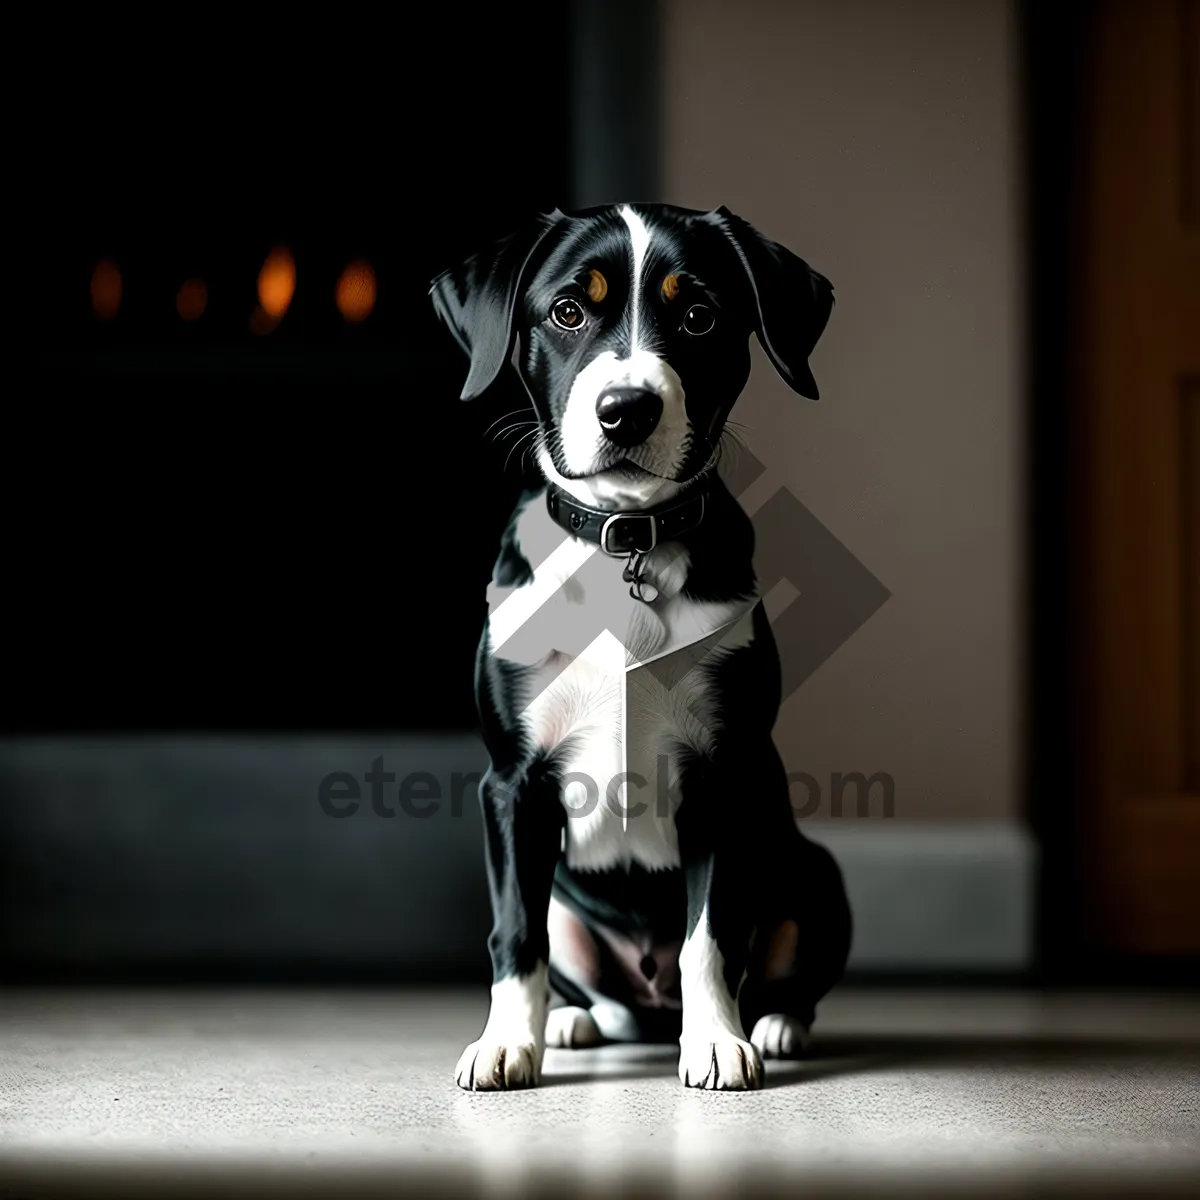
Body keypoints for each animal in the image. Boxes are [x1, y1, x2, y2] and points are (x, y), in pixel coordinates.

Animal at [432, 204, 854, 1089]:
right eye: (567, 311)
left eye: (697, 316)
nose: (626, 408)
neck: (624, 536)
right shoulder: (513, 782)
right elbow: (513, 934)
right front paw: (506, 1042)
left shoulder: (726, 776)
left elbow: (711, 936)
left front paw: (719, 1042)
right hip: (570, 902)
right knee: (592, 983)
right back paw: (574, 1023)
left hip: (815, 876)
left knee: (776, 971)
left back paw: (775, 1025)